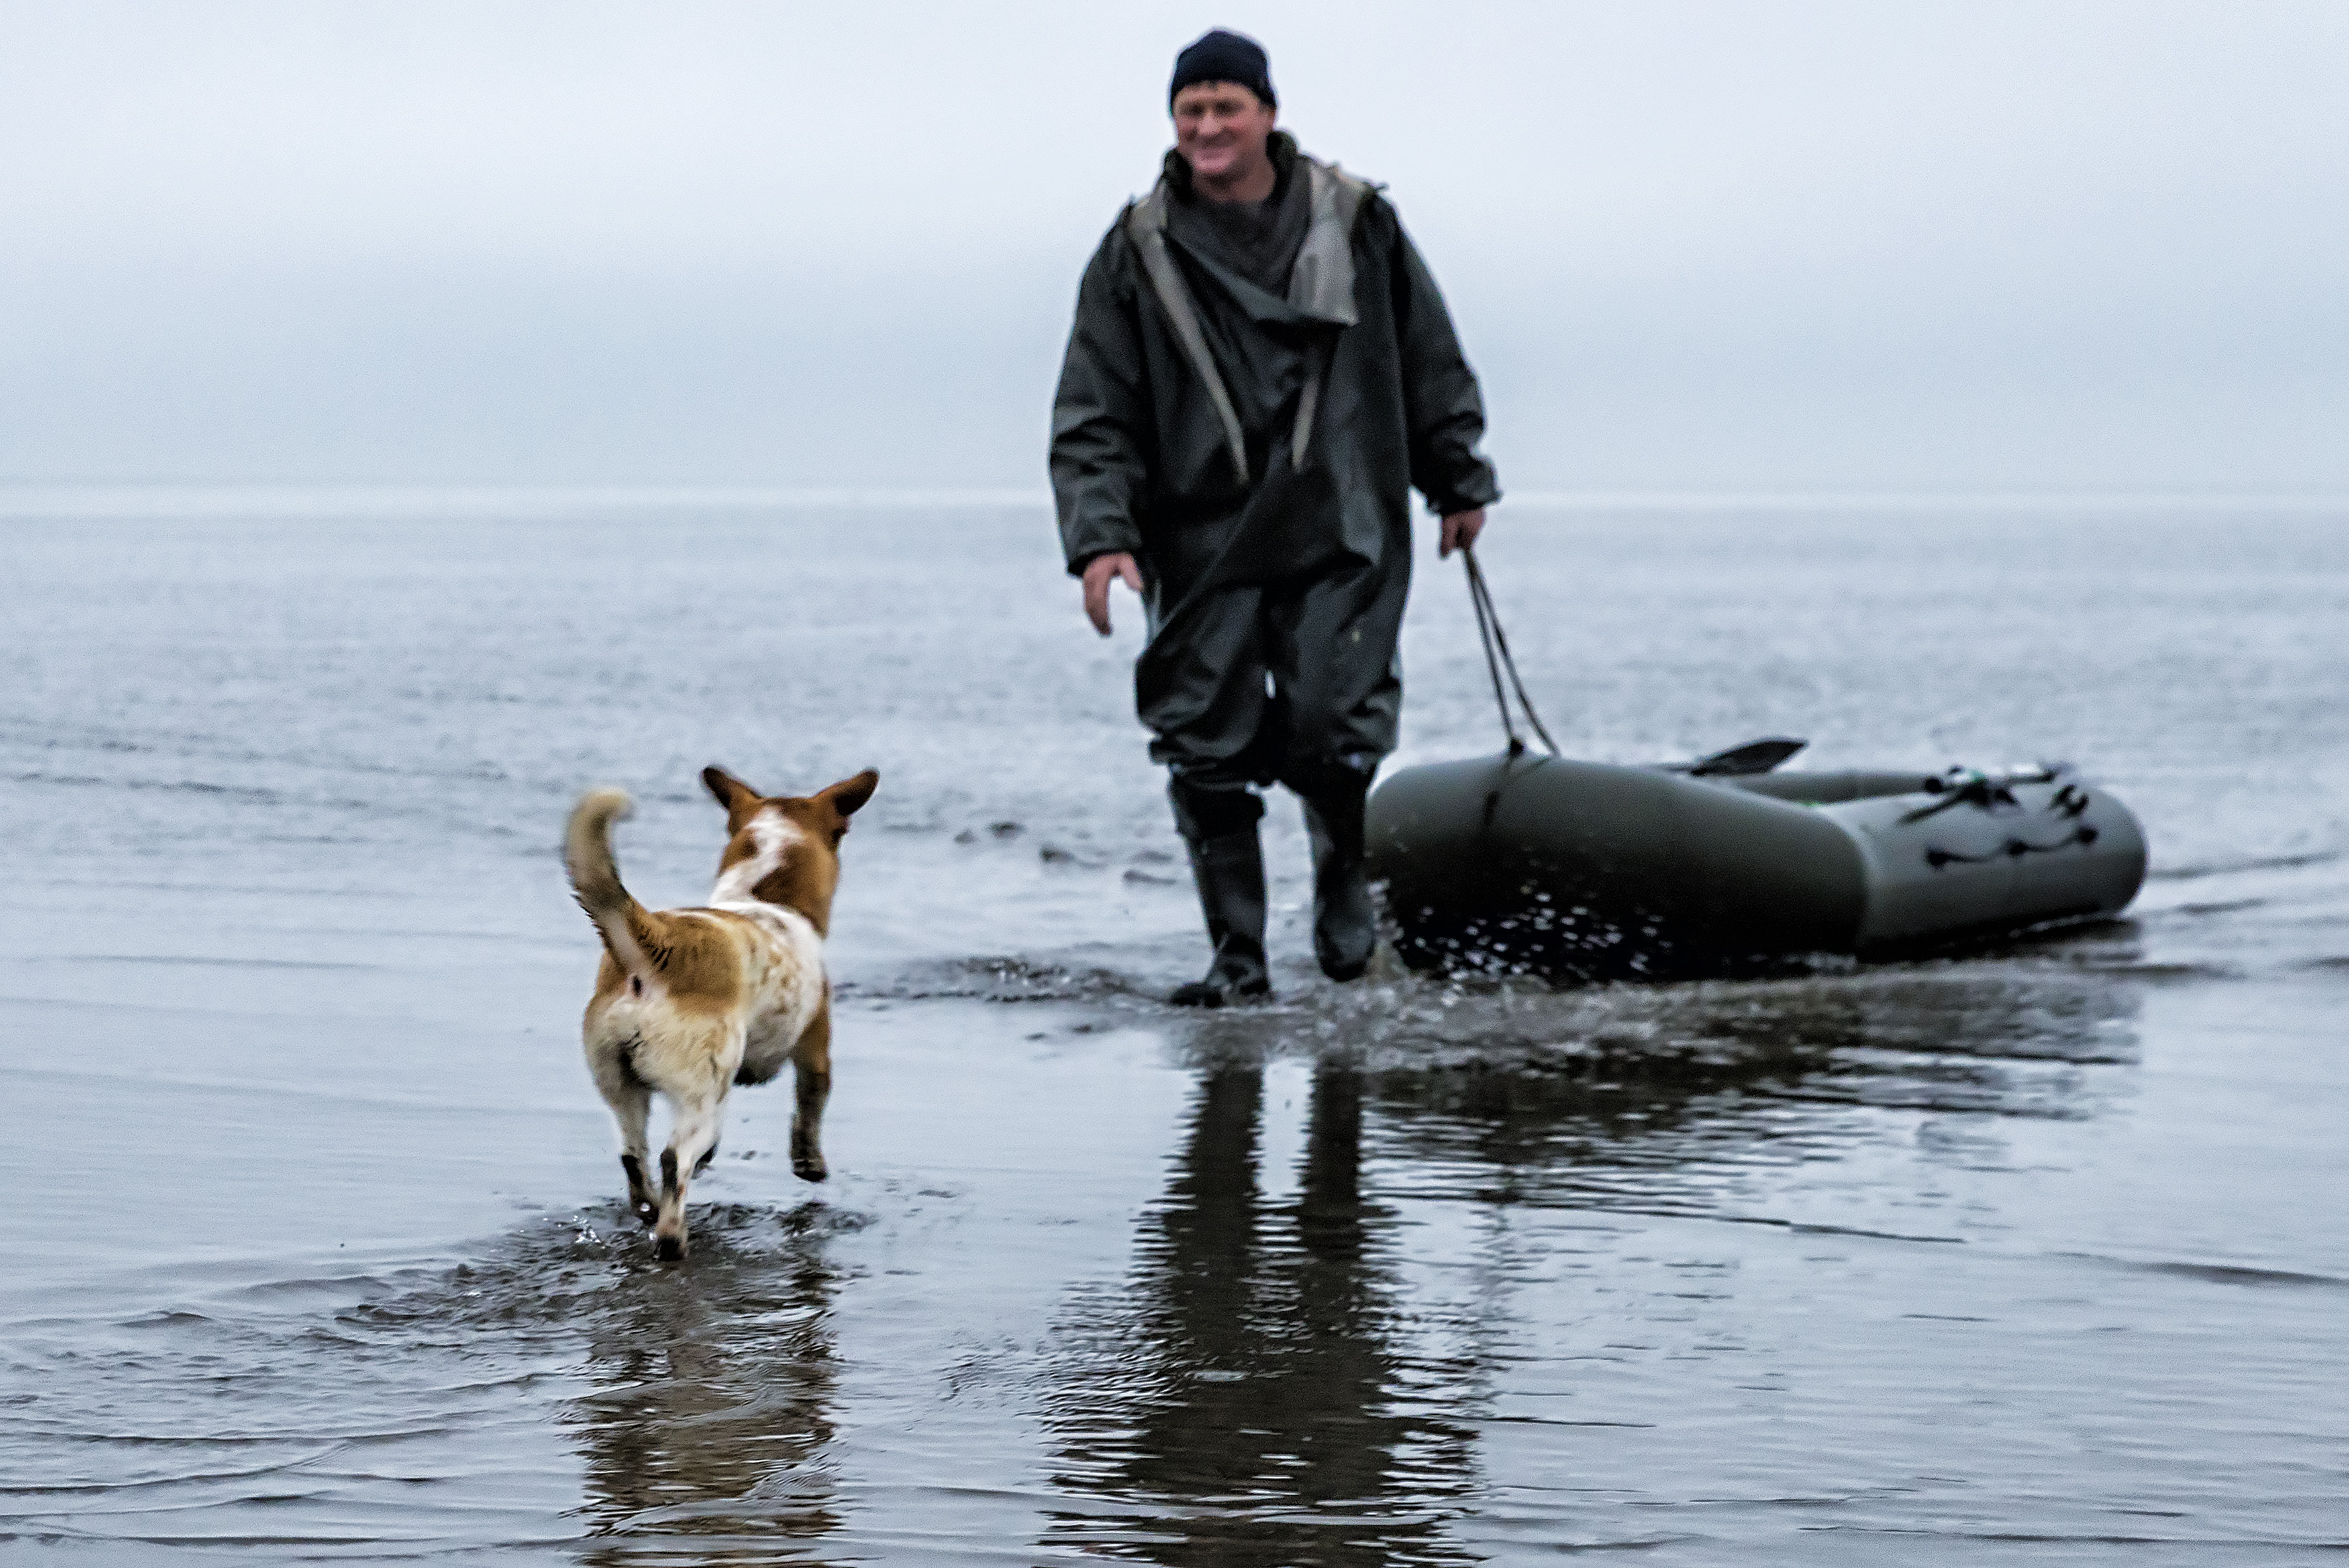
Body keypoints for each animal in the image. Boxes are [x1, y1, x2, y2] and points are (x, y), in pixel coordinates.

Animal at [564, 760, 878, 1258]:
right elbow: (810, 1106)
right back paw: (672, 1238)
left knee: (634, 1156)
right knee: (674, 1160)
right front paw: (810, 1165)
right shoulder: (814, 1045)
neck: (763, 898)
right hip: (696, 1091)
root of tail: (657, 945)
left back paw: (650, 1208)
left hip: (620, 1084)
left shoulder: (724, 1084)